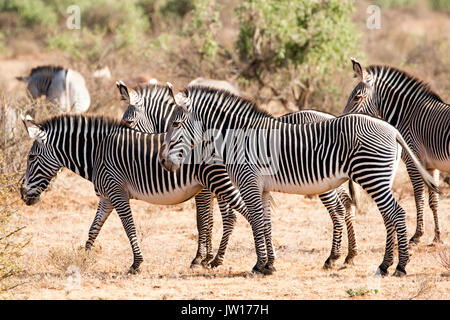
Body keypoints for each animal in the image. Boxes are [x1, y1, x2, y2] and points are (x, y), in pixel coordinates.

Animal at [19, 112, 250, 272]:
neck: (96, 154)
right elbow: (94, 228)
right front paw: (83, 258)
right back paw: (216, 258)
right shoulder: (106, 197)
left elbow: (129, 227)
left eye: (31, 157)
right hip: (211, 186)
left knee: (238, 214)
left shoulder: (117, 192)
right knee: (226, 218)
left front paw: (136, 263)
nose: (22, 194)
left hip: (216, 182)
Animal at [119, 80, 358, 270]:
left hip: (322, 183)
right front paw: (210, 257)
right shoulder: (213, 187)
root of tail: (329, 115)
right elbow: (214, 220)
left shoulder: (208, 186)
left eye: (128, 124)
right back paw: (349, 255)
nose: (160, 160)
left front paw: (203, 258)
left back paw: (333, 257)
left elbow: (207, 220)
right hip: (333, 180)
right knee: (346, 205)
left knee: (337, 210)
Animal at [158, 85, 440, 276]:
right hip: (379, 177)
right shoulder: (261, 188)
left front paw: (258, 266)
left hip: (372, 175)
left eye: (176, 123)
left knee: (397, 214)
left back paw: (400, 266)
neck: (238, 138)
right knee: (387, 216)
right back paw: (383, 264)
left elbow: (256, 222)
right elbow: (266, 224)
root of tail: (392, 130)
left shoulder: (249, 183)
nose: (163, 162)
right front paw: (270, 264)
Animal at [342, 58, 448, 245]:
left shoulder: (413, 160)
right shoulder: (431, 166)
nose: (341, 119)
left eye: (357, 97)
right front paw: (437, 236)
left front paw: (417, 235)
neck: (408, 115)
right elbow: (433, 200)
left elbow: (418, 197)